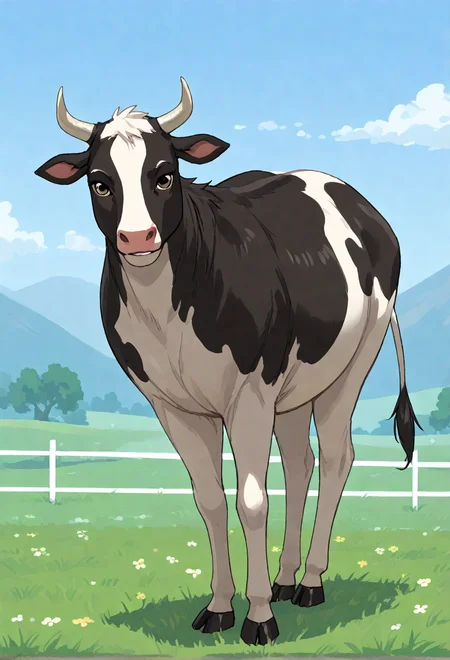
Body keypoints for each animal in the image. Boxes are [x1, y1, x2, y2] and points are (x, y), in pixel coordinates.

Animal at [35, 78, 421, 646]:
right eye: (100, 182)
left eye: (164, 174)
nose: (137, 238)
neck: (168, 311)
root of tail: (357, 200)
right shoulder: (171, 404)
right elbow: (211, 500)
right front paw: (219, 607)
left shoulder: (250, 392)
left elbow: (251, 500)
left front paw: (258, 617)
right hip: (293, 386)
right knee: (301, 463)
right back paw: (285, 579)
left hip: (352, 362)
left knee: (335, 459)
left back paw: (309, 582)